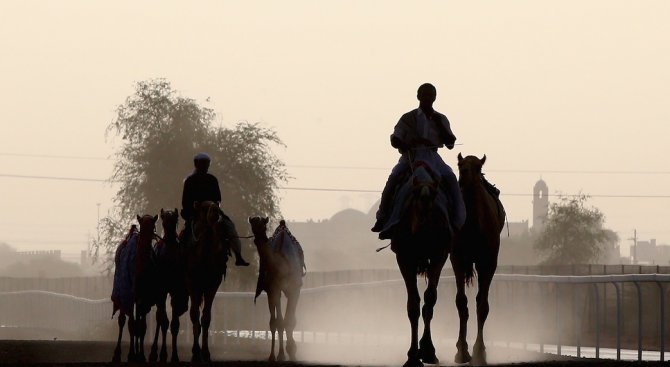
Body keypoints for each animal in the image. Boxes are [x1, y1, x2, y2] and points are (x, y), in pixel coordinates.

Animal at [249, 218, 308, 362]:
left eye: (263, 224)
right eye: (252, 224)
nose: (259, 237)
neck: (282, 265)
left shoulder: (294, 289)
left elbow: (290, 321)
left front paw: (292, 350)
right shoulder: (273, 290)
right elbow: (276, 323)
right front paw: (275, 355)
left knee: (287, 318)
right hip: (275, 292)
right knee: (277, 320)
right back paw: (279, 354)